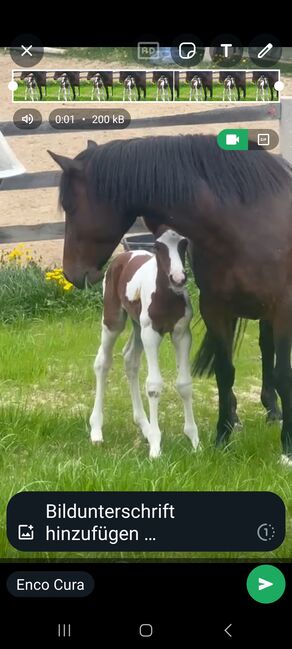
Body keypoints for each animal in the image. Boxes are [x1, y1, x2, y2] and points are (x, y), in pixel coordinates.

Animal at [89, 228, 198, 456]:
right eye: (158, 246)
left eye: (184, 243)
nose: (178, 278)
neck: (166, 296)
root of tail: (123, 256)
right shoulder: (151, 333)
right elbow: (154, 385)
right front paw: (156, 447)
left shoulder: (182, 334)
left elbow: (184, 384)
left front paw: (194, 441)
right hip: (114, 321)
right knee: (102, 362)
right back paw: (96, 430)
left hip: (137, 325)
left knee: (130, 359)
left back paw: (144, 425)